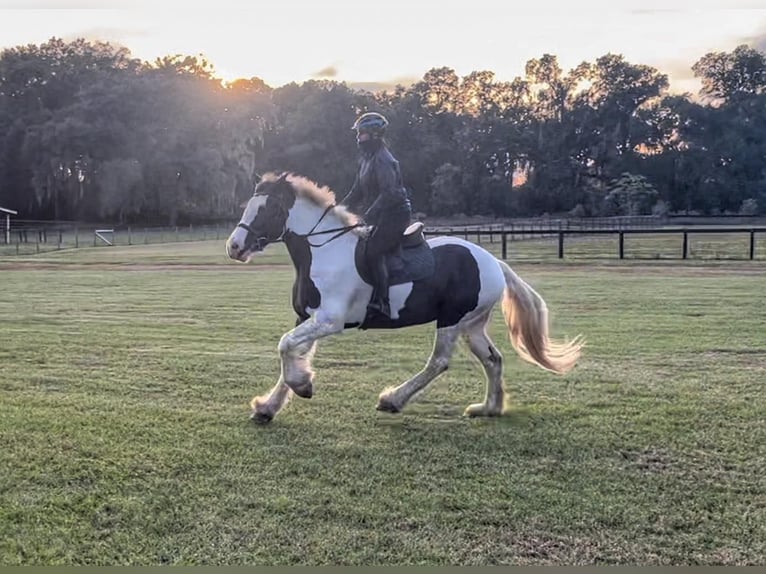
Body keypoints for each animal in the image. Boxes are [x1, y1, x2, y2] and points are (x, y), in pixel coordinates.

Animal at [225, 171, 584, 424]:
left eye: (269, 208)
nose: (235, 247)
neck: (324, 250)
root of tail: (494, 262)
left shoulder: (329, 320)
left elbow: (285, 345)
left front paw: (302, 386)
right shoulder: (308, 318)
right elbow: (292, 352)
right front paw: (269, 406)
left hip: (451, 320)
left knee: (439, 362)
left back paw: (393, 399)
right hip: (472, 324)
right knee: (492, 360)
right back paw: (488, 408)